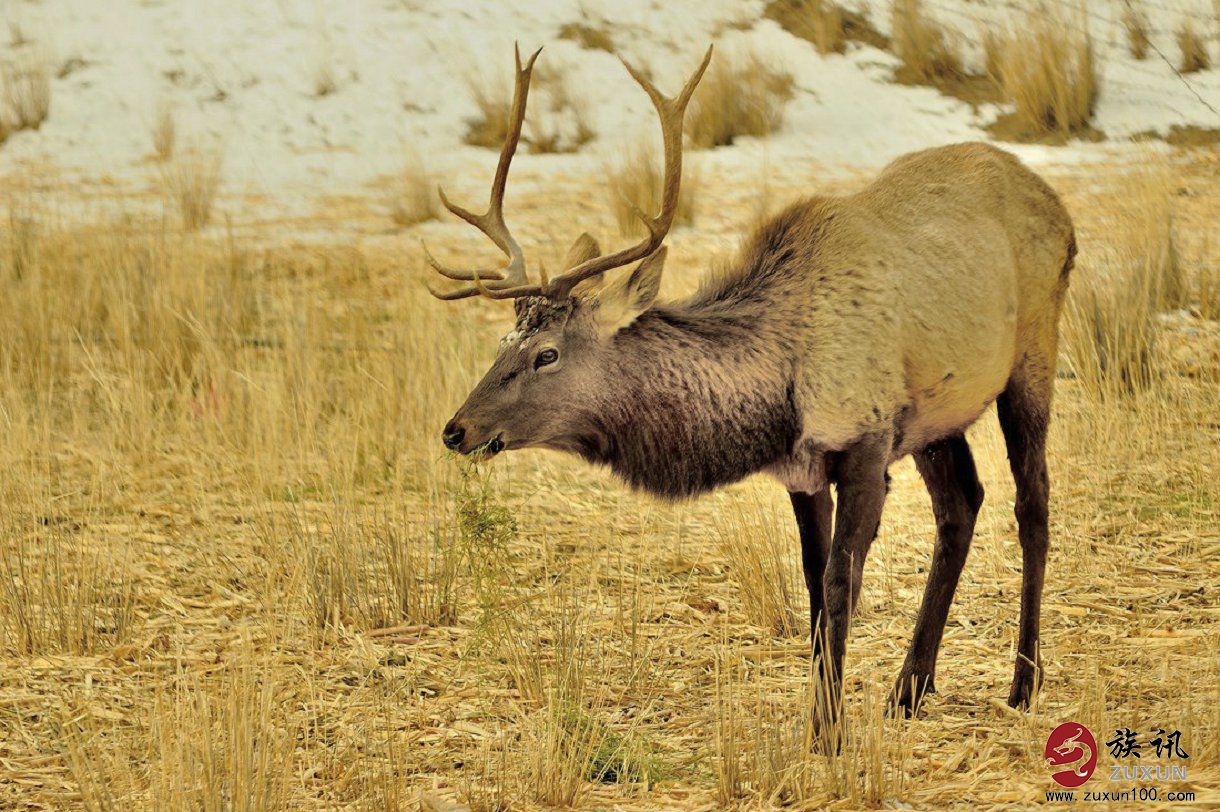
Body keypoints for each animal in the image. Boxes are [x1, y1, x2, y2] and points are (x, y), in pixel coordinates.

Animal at [424, 45, 1073, 721]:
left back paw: (1023, 682)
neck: (775, 397)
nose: (457, 429)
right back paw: (910, 688)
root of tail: (1053, 200)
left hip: (1033, 351)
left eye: (547, 354)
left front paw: (827, 726)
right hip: (937, 416)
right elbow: (815, 588)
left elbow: (841, 585)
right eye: (505, 341)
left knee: (1032, 503)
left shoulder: (865, 443)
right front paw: (824, 709)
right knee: (962, 504)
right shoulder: (803, 470)